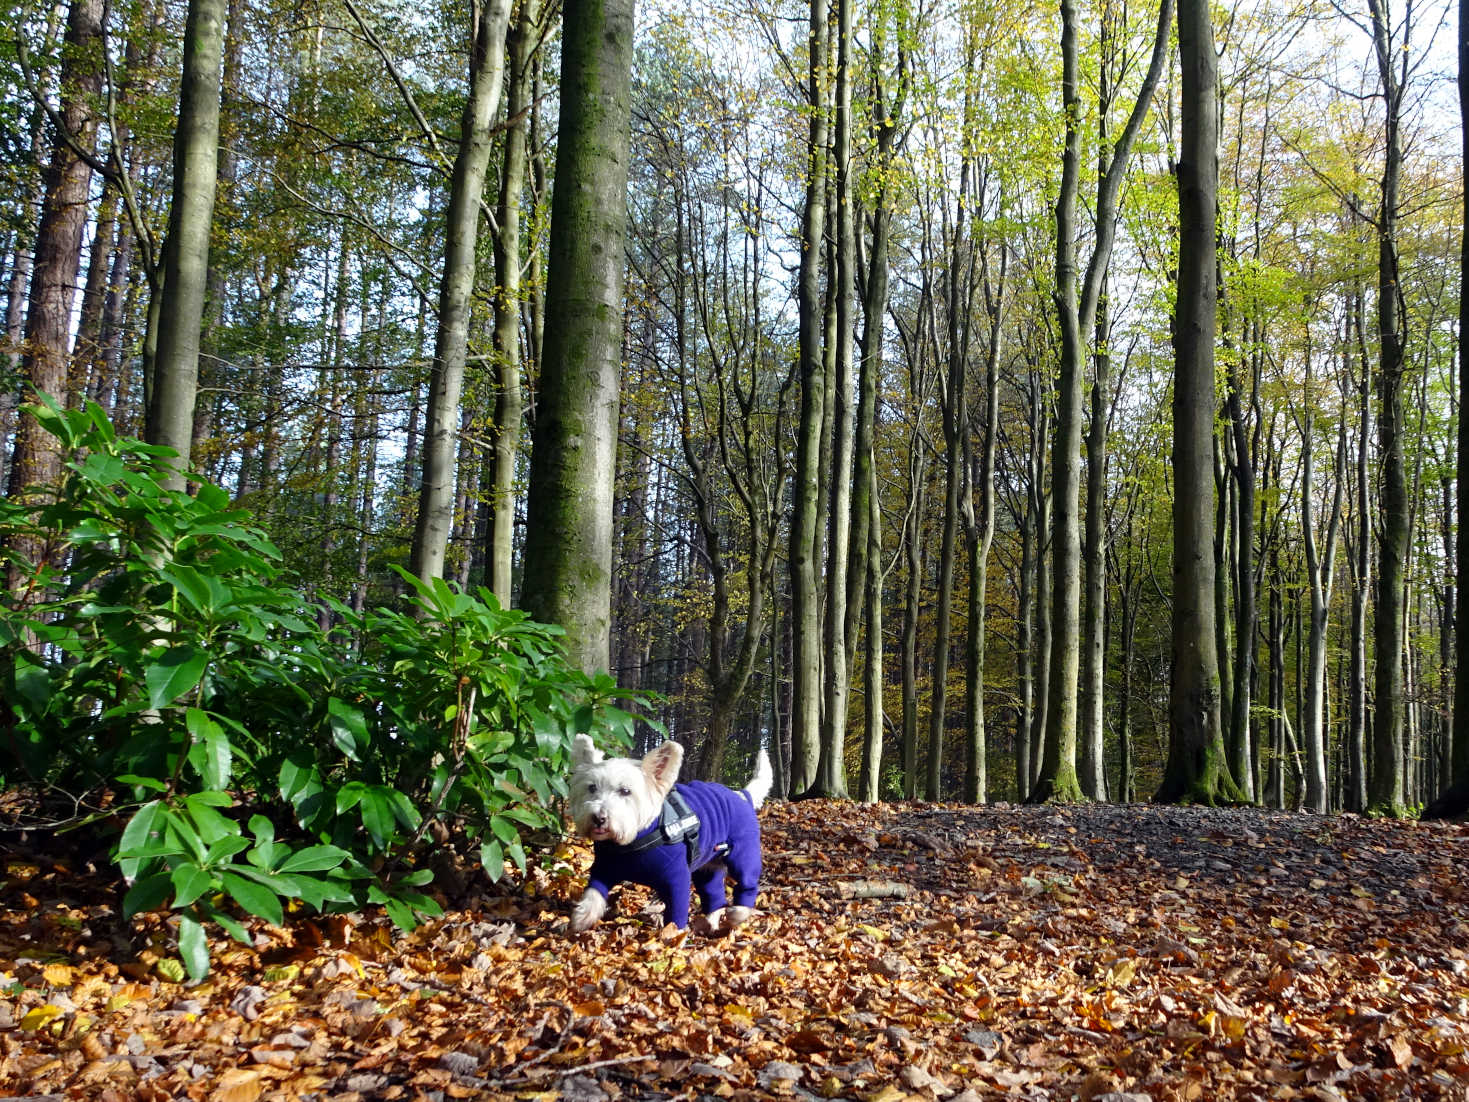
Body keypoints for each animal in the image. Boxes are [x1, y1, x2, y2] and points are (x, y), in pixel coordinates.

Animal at [567, 737, 775, 934]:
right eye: (591, 787)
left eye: (625, 791)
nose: (598, 818)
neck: (632, 843)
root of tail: (742, 794)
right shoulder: (604, 868)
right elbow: (593, 892)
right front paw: (581, 917)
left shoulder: (677, 878)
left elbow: (676, 912)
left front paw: (673, 938)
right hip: (708, 869)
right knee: (714, 895)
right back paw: (710, 923)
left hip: (743, 855)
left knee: (747, 883)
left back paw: (738, 913)